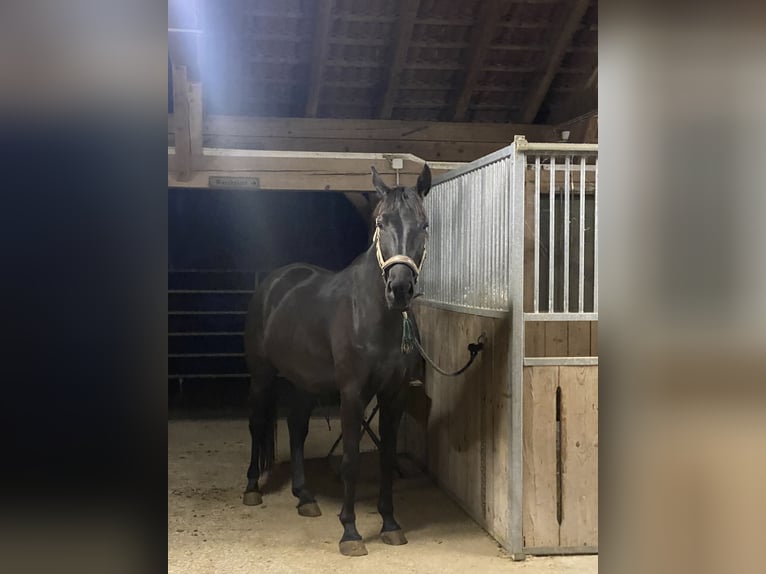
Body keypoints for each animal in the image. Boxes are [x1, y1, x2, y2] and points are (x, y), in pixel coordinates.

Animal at [242, 163, 431, 556]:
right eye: (380, 223)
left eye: (423, 225)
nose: (399, 289)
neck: (374, 314)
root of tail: (273, 283)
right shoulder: (352, 393)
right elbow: (350, 459)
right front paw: (351, 532)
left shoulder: (394, 394)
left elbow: (387, 458)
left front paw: (390, 524)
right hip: (262, 375)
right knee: (257, 423)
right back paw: (252, 488)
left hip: (303, 382)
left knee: (296, 427)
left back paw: (304, 496)